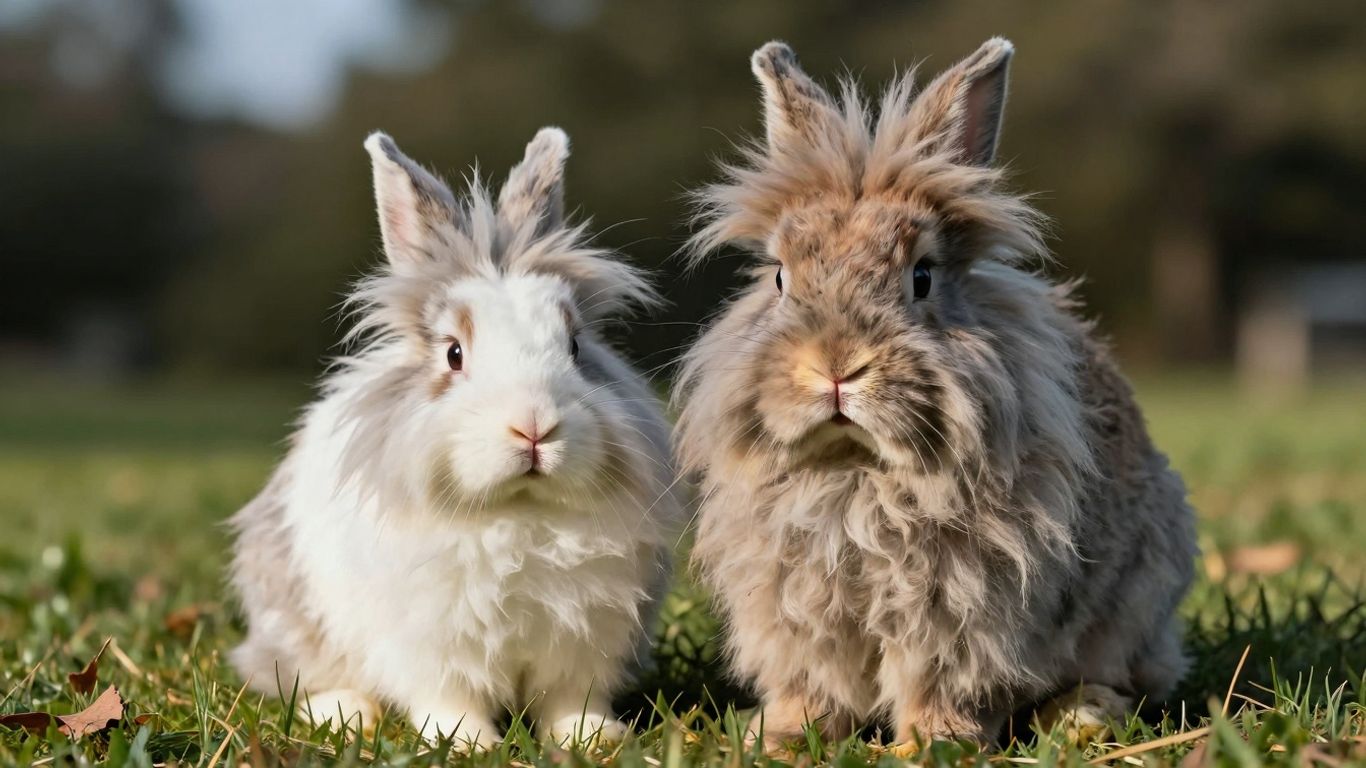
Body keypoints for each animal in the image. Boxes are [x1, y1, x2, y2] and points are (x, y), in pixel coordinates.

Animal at [229, 127, 683, 749]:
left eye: (575, 346)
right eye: (454, 354)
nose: (535, 426)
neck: (519, 513)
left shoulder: (584, 644)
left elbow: (569, 699)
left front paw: (593, 738)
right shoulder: (433, 649)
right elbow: (449, 698)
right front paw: (467, 743)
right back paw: (347, 713)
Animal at [674, 38, 1197, 749]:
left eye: (921, 276)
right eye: (781, 277)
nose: (835, 366)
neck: (856, 468)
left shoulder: (963, 612)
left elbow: (943, 683)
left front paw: (932, 744)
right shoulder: (796, 615)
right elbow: (811, 687)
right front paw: (783, 738)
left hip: (1135, 601)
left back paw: (1082, 716)